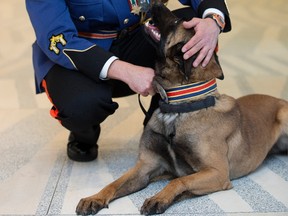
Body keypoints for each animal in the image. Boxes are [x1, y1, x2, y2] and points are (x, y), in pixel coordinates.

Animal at [76, 1, 288, 214]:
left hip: (283, 114)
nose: (156, 3)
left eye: (177, 22)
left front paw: (158, 198)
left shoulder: (217, 172)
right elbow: (114, 183)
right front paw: (94, 198)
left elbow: (179, 181)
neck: (178, 108)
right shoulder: (146, 166)